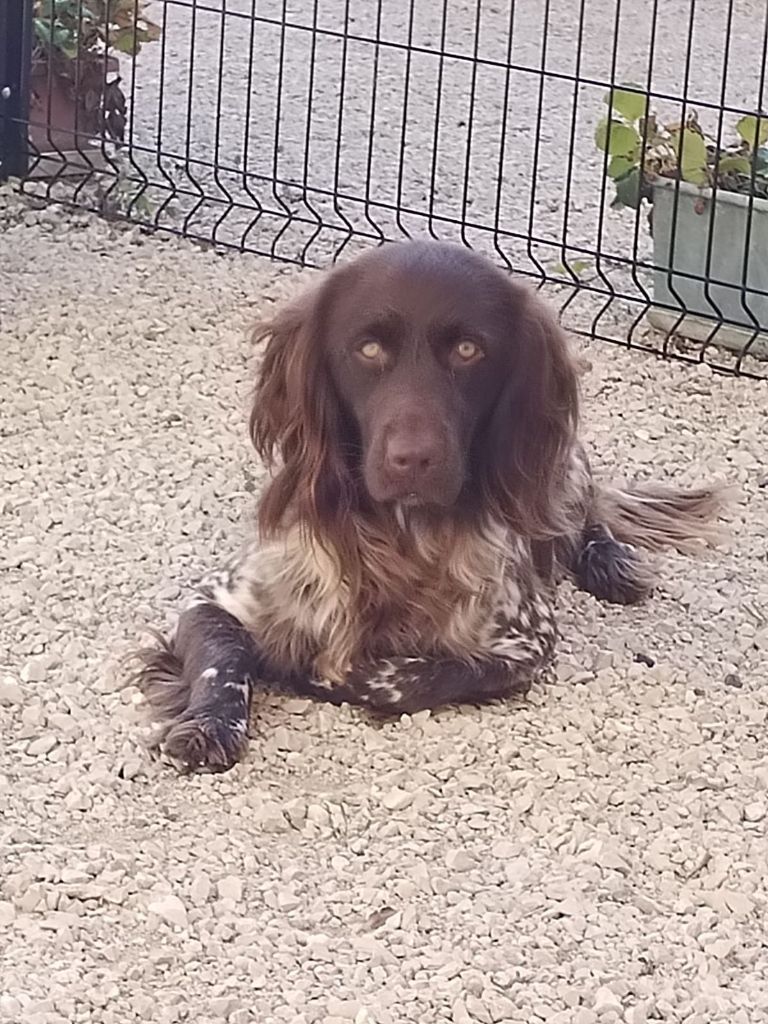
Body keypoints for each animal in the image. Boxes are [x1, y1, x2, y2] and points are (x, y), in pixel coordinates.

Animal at [131, 239, 733, 770]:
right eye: (368, 349)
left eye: (468, 350)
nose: (413, 459)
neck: (399, 537)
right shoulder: (218, 597)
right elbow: (221, 659)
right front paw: (208, 724)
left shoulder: (524, 642)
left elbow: (408, 677)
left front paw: (321, 672)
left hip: (562, 468)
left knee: (585, 516)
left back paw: (614, 563)